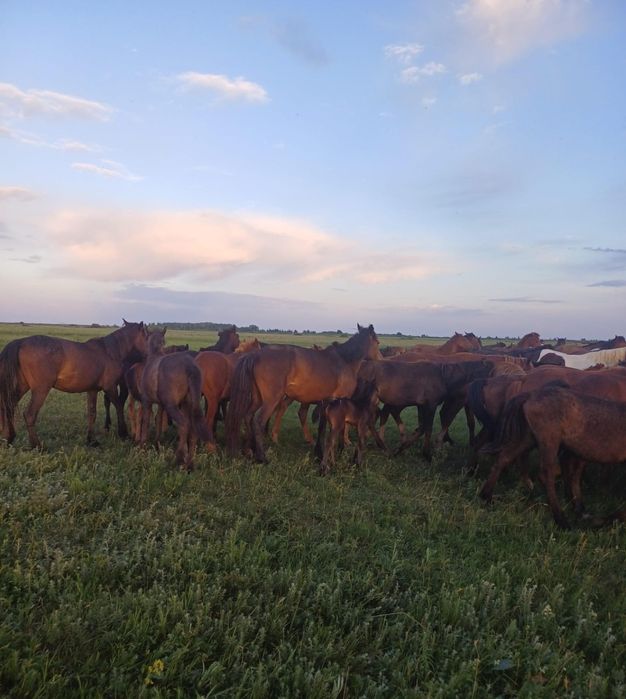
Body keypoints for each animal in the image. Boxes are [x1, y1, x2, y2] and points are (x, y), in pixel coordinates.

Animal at [0, 320, 148, 447]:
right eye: (147, 336)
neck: (109, 352)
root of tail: (21, 342)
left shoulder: (92, 389)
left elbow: (92, 413)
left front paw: (91, 440)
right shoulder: (110, 387)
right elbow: (118, 406)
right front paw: (123, 433)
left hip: (22, 386)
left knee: (9, 407)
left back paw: (9, 438)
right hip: (40, 389)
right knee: (29, 414)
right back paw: (37, 446)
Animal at [139, 331, 210, 470]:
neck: (154, 356)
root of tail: (190, 366)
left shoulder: (147, 401)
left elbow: (146, 421)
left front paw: (142, 445)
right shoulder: (161, 405)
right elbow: (159, 420)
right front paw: (157, 441)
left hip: (172, 406)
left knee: (183, 425)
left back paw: (179, 459)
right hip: (189, 405)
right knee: (193, 429)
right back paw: (190, 463)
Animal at [225, 324, 381, 463]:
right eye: (377, 342)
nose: (381, 359)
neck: (344, 361)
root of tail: (255, 354)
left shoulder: (327, 401)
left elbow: (322, 428)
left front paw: (319, 453)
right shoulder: (340, 401)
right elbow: (339, 429)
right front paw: (338, 452)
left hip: (257, 398)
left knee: (248, 417)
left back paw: (248, 450)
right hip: (271, 401)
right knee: (258, 421)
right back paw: (262, 457)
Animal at [479, 385, 626, 529]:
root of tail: (531, 394)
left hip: (528, 438)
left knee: (504, 458)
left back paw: (486, 497)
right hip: (549, 440)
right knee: (547, 474)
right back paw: (562, 520)